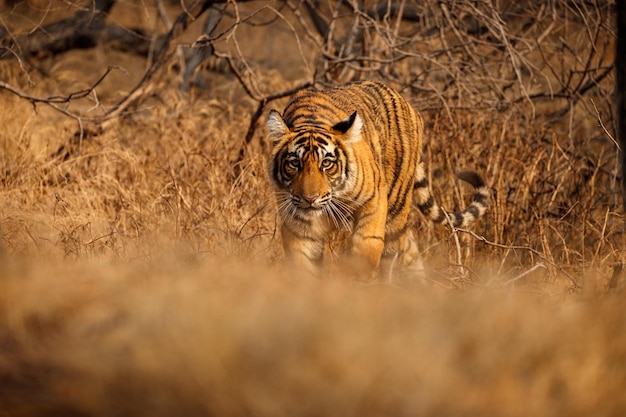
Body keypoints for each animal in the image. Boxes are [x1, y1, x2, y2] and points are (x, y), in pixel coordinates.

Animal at [264, 80, 488, 278]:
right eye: (294, 164)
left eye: (327, 164)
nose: (310, 199)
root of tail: (406, 102)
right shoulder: (299, 227)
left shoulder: (374, 199)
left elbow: (365, 246)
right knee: (410, 250)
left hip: (396, 208)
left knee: (395, 249)